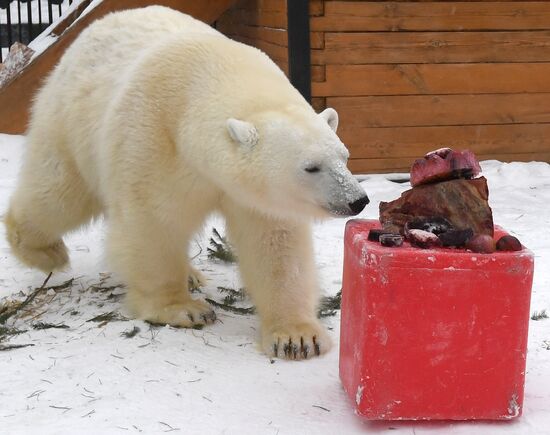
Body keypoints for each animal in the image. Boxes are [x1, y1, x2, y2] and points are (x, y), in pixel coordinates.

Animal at [5, 5, 370, 362]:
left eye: (344, 156)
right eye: (311, 167)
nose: (358, 200)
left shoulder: (256, 194)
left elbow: (275, 242)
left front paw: (296, 337)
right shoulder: (153, 140)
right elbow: (153, 223)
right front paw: (183, 309)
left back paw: (191, 273)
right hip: (71, 120)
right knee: (59, 193)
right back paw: (45, 252)